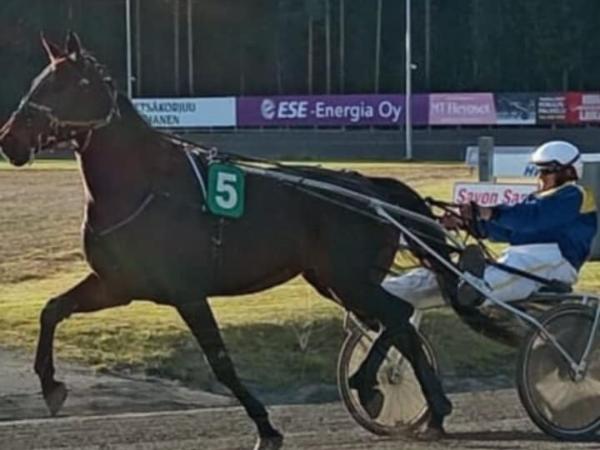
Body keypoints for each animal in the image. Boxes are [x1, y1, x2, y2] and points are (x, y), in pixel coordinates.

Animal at [0, 32, 467, 448]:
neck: (143, 185)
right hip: (334, 280)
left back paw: (373, 386)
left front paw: (266, 427)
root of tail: (369, 188)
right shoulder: (118, 284)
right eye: (40, 81)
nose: (10, 140)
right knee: (396, 323)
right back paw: (431, 409)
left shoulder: (187, 292)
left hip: (349, 278)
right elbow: (52, 310)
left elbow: (221, 364)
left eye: (67, 85)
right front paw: (51, 386)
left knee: (397, 315)